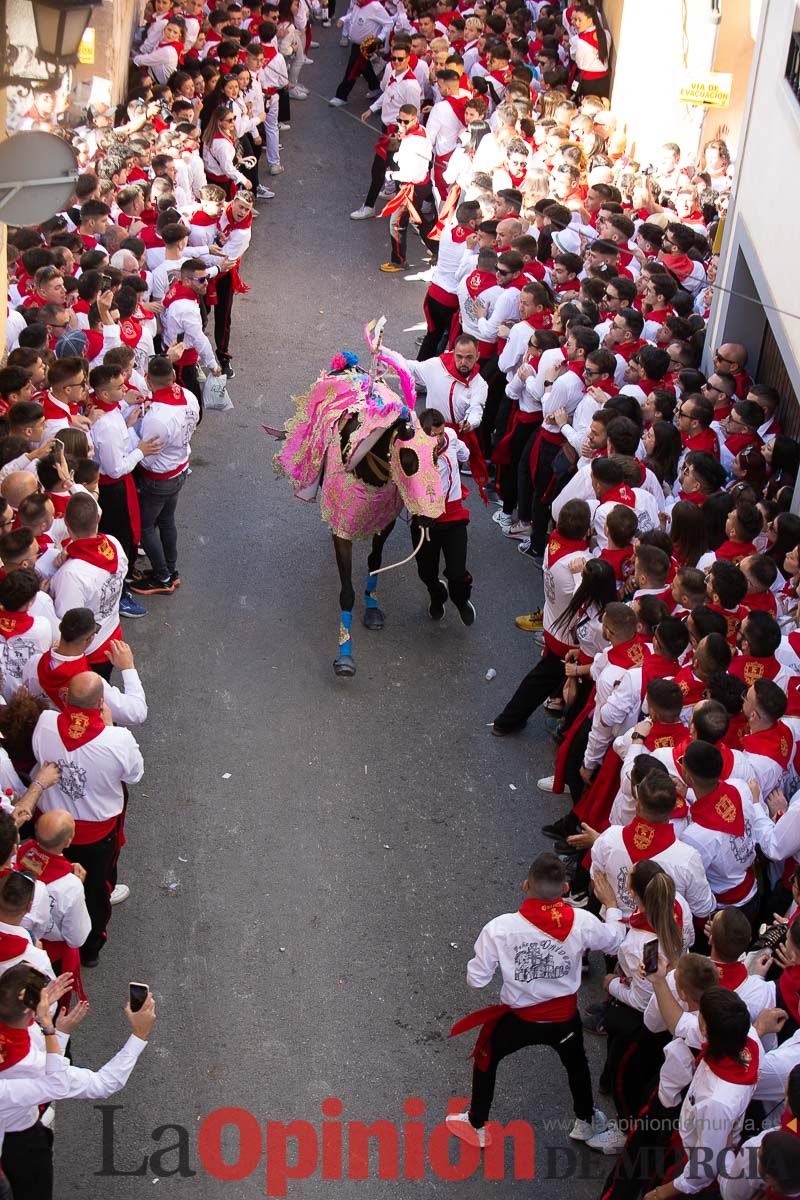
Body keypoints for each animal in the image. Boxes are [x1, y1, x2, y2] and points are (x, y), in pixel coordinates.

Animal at [271, 319, 443, 676]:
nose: (430, 516)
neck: (368, 470)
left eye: (437, 453)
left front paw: (372, 605)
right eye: (408, 459)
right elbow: (346, 592)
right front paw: (345, 655)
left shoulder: (385, 520)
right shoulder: (343, 530)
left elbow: (375, 562)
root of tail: (346, 363)